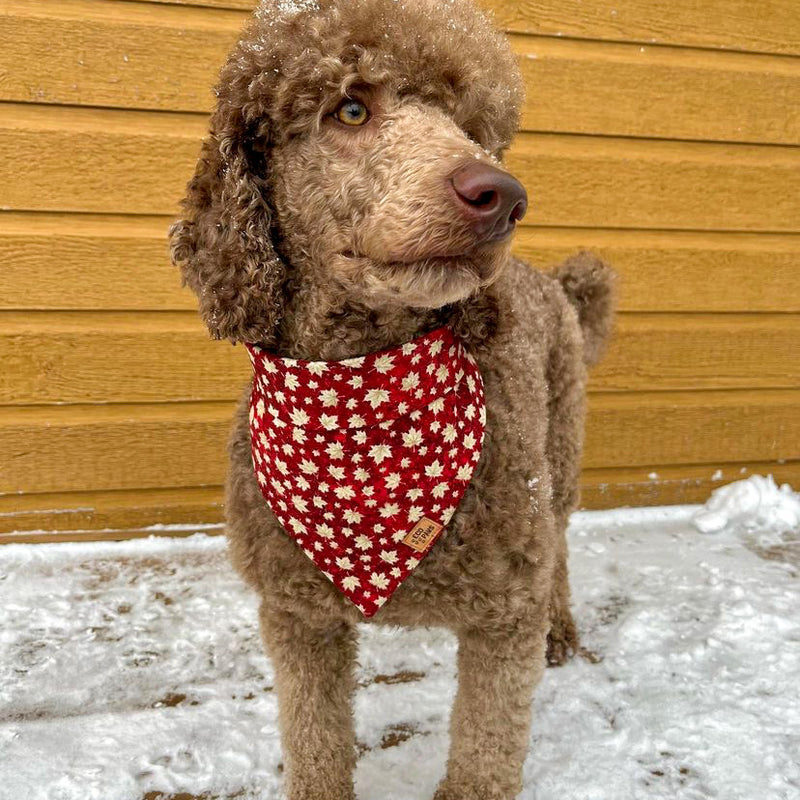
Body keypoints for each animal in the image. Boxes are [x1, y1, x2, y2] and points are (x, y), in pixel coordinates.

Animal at [170, 0, 612, 796]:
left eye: (473, 128)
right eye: (350, 108)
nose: (503, 195)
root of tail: (557, 281)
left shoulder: (504, 616)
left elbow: (485, 753)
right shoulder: (297, 614)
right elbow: (314, 742)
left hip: (558, 453)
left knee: (558, 544)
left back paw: (561, 626)